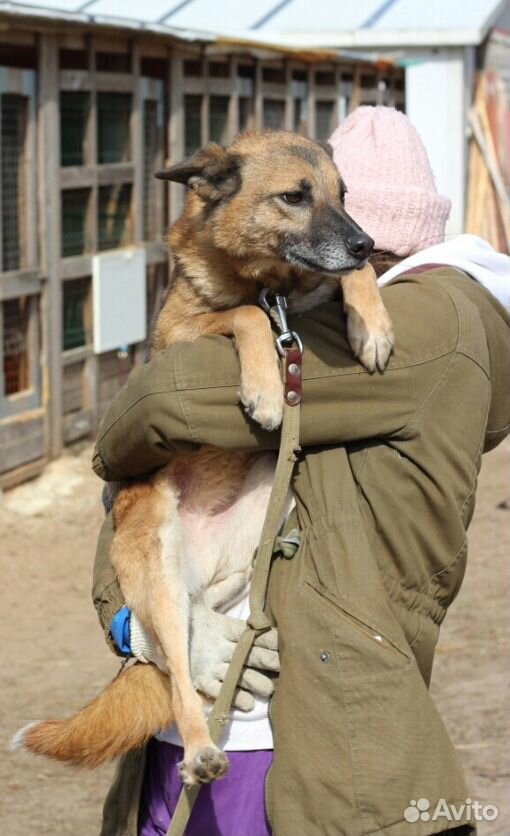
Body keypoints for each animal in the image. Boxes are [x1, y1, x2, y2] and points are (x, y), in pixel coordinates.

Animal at [12, 129, 394, 784]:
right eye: (294, 196)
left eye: (343, 195)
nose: (364, 238)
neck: (269, 282)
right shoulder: (176, 334)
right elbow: (241, 316)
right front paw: (265, 388)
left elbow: (354, 276)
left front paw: (372, 323)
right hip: (160, 576)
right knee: (181, 674)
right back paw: (199, 749)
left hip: (268, 500)